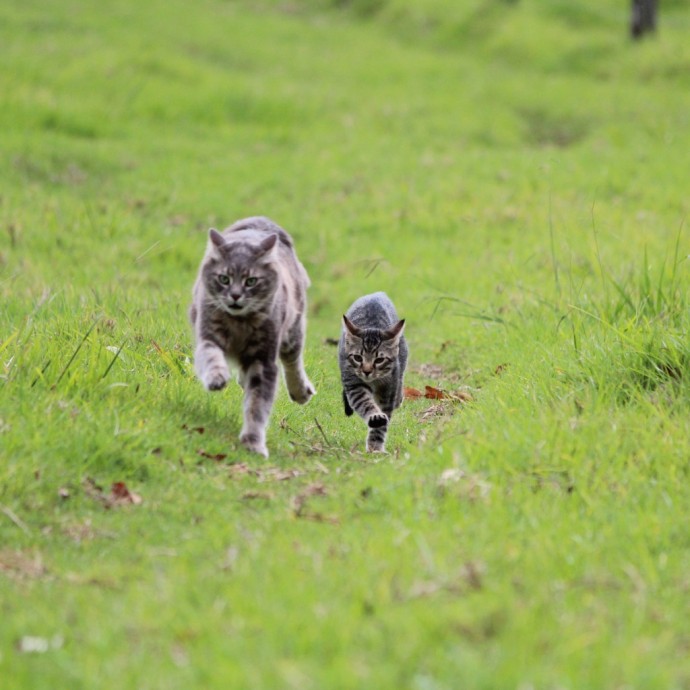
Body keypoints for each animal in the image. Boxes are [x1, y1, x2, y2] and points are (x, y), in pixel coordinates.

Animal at [189, 212, 316, 454]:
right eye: (224, 279)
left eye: (251, 281)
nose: (235, 296)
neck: (239, 322)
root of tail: (261, 221)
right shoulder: (208, 337)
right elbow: (211, 358)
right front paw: (217, 378)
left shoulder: (263, 360)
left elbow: (257, 406)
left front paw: (253, 443)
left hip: (292, 331)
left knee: (293, 362)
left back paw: (299, 391)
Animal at [338, 290, 406, 452]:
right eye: (358, 358)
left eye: (379, 360)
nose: (367, 371)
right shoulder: (354, 383)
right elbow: (364, 402)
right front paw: (375, 417)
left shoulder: (389, 388)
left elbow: (384, 419)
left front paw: (375, 446)